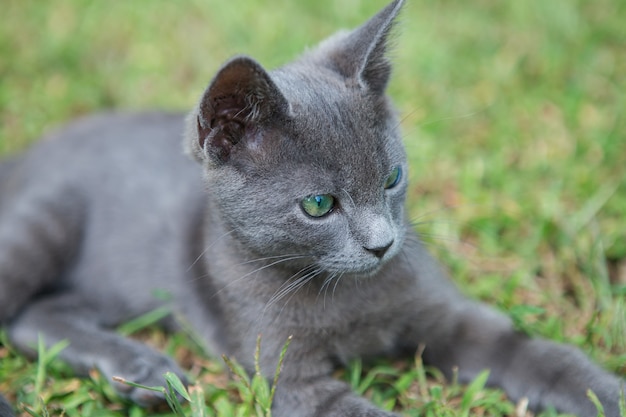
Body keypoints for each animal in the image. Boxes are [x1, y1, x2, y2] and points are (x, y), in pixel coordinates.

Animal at [0, 0, 620, 416]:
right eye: (319, 205)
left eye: (393, 178)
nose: (382, 244)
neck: (347, 299)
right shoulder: (288, 377)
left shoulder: (448, 314)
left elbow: (532, 354)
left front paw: (607, 391)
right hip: (40, 222)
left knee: (36, 316)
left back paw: (140, 370)